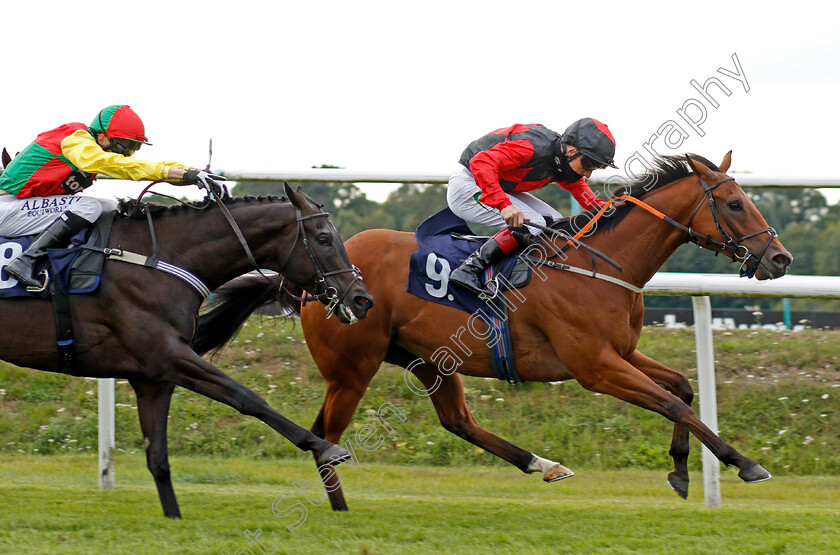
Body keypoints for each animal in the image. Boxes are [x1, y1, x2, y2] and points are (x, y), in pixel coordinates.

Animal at [0, 185, 374, 520]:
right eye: (324, 238)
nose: (362, 300)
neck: (155, 258)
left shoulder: (153, 377)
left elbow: (158, 458)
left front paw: (173, 517)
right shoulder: (168, 355)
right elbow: (248, 398)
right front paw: (324, 446)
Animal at [195, 154, 796, 510]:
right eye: (735, 203)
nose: (781, 259)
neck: (602, 265)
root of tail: (314, 281)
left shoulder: (622, 353)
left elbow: (683, 388)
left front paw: (680, 472)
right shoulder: (595, 367)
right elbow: (673, 403)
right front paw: (745, 463)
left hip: (427, 360)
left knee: (458, 422)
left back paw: (542, 464)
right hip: (353, 368)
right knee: (326, 435)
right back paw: (339, 509)